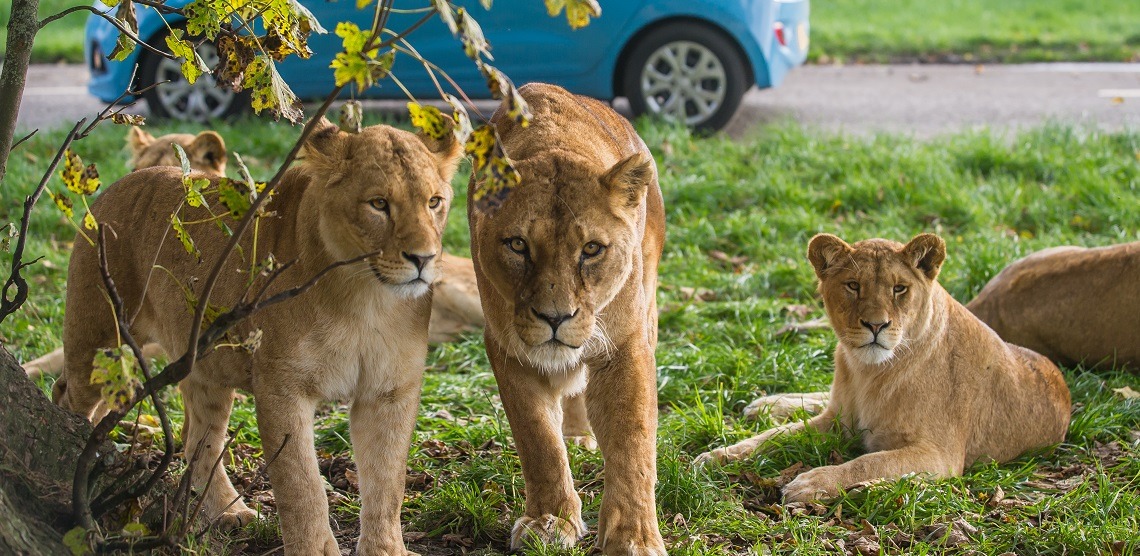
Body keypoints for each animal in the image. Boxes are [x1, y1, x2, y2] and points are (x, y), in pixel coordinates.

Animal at [53, 119, 462, 553]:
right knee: (69, 395)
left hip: (205, 365)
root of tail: (121, 182)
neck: (367, 299)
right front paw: (314, 549)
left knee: (196, 438)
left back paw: (231, 511)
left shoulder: (389, 391)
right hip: (100, 340)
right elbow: (301, 485)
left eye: (434, 202)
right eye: (379, 204)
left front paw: (386, 549)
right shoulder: (283, 388)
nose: (424, 258)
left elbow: (387, 483)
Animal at [469, 83, 665, 556]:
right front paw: (549, 520)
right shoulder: (508, 348)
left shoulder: (625, 343)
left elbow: (632, 439)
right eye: (518, 245)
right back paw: (575, 437)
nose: (555, 318)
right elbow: (538, 438)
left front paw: (634, 537)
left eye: (592, 249)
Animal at [688, 232, 1071, 501]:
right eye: (853, 286)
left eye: (899, 289)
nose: (876, 325)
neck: (868, 373)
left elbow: (870, 462)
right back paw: (764, 405)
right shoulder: (837, 422)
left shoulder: (940, 456)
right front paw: (717, 456)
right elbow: (773, 437)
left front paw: (813, 481)